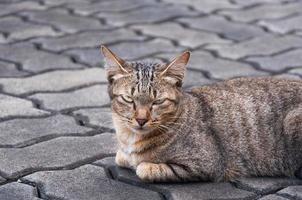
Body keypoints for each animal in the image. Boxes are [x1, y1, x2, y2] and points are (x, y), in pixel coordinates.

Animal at [101, 45, 302, 183]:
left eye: (157, 101)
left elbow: (144, 168)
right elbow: (121, 157)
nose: (141, 119)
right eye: (129, 99)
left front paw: (143, 165)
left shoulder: (207, 164)